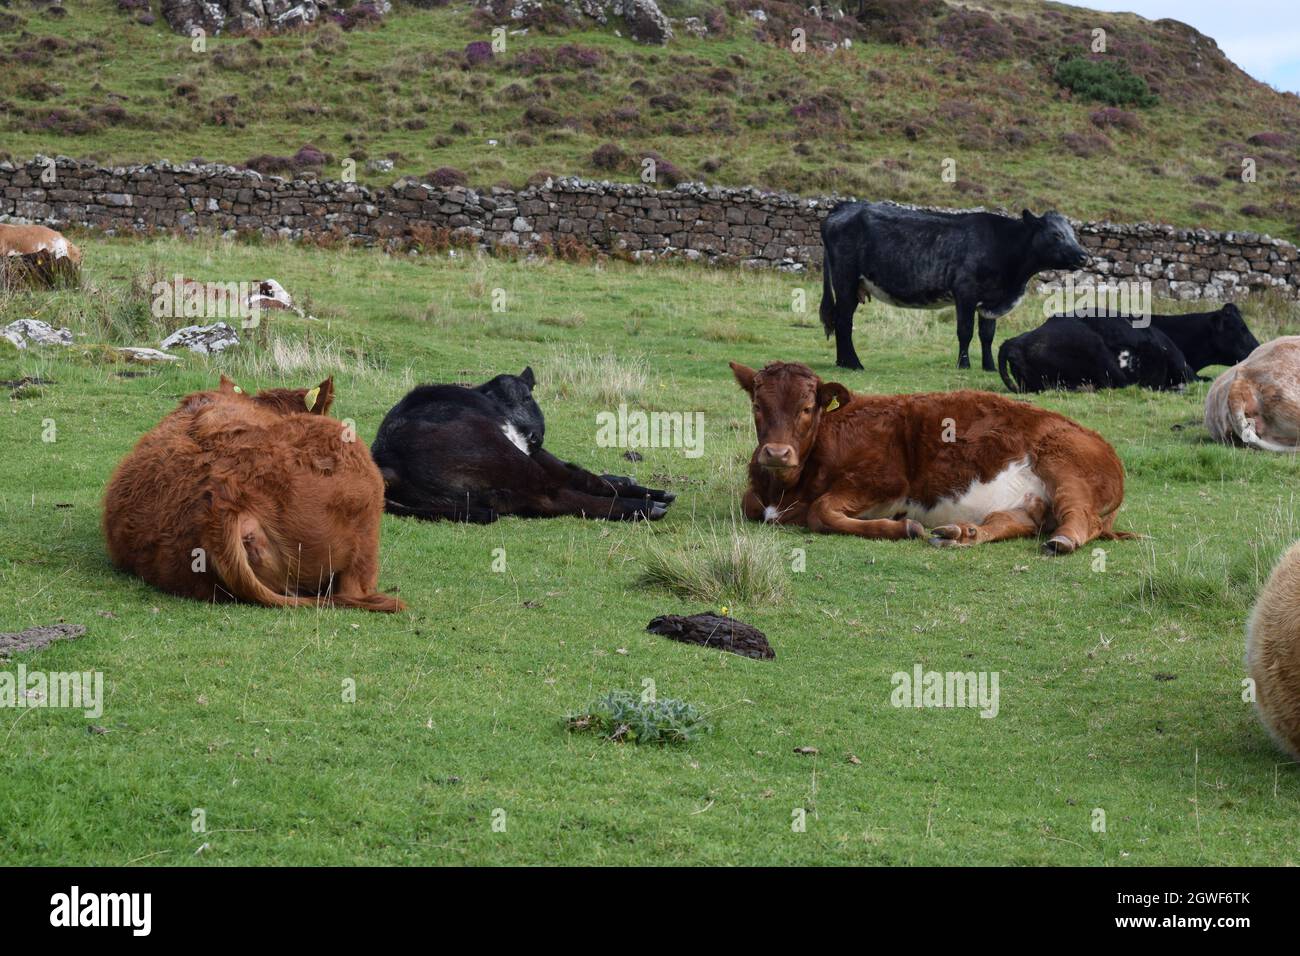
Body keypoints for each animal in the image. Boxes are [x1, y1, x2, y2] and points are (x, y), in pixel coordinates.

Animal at [372, 368, 676, 523]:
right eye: (528, 396)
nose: (533, 436)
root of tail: (388, 461)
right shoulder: (537, 455)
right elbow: (583, 478)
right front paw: (650, 494)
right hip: (510, 461)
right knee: (556, 497)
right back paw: (643, 508)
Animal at [730, 360, 1135, 554]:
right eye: (757, 405)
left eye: (806, 408)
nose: (777, 453)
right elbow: (749, 503)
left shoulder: (885, 482)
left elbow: (821, 512)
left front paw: (902, 527)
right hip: (1031, 503)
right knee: (1010, 521)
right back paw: (963, 533)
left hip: (1066, 467)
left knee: (1079, 517)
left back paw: (1063, 540)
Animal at [819, 203, 1089, 371]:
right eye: (1056, 234)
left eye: (1072, 233)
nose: (1084, 256)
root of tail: (846, 206)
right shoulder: (965, 292)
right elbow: (965, 331)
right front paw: (964, 364)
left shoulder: (990, 299)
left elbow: (987, 335)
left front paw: (989, 367)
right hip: (845, 280)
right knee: (843, 321)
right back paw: (854, 364)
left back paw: (843, 362)